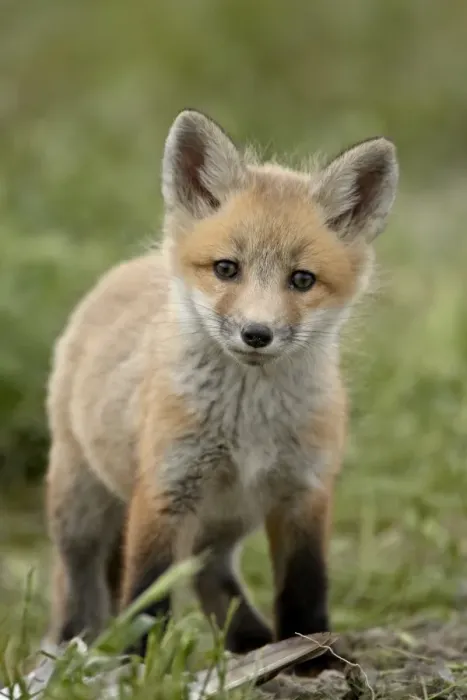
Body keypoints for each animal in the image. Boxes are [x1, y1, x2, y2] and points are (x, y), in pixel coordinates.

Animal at [44, 108, 398, 673]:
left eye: (302, 280)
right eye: (227, 269)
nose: (257, 333)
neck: (247, 424)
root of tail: (131, 267)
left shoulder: (305, 492)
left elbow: (305, 588)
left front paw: (311, 660)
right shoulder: (164, 490)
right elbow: (145, 595)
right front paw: (139, 666)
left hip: (227, 521)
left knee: (210, 574)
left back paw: (252, 644)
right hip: (80, 507)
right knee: (78, 582)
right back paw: (69, 647)